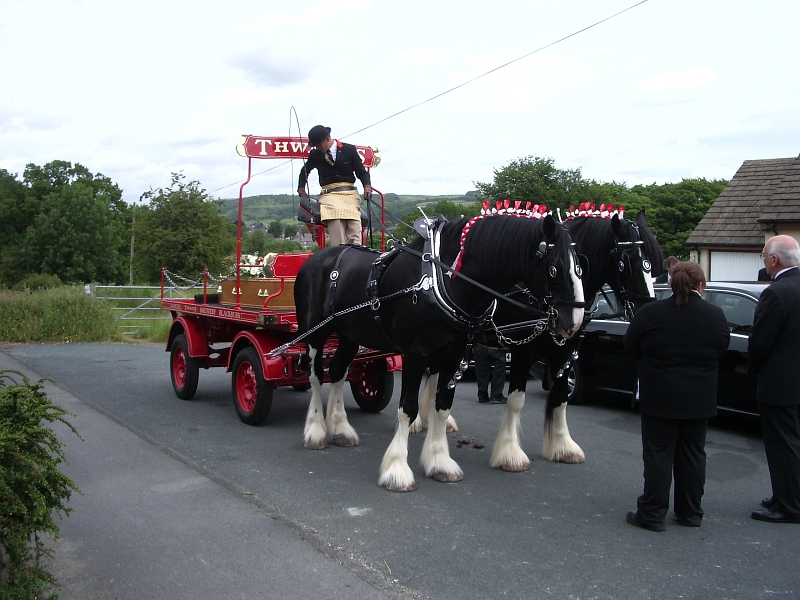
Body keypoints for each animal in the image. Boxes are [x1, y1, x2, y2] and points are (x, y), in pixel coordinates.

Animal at [292, 213, 580, 490]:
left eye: (580, 267)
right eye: (554, 269)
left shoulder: (454, 356)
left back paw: (340, 428)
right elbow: (407, 408)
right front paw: (397, 470)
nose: (574, 323)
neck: (442, 280)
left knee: (338, 372)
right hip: (314, 334)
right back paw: (316, 431)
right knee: (316, 376)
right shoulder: (415, 356)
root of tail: (316, 258)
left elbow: (442, 406)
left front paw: (440, 462)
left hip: (350, 335)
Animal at [416, 210, 660, 468]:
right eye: (625, 264)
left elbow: (560, 397)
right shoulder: (523, 350)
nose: (648, 311)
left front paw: (563, 446)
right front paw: (510, 453)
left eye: (653, 262)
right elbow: (516, 400)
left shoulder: (565, 353)